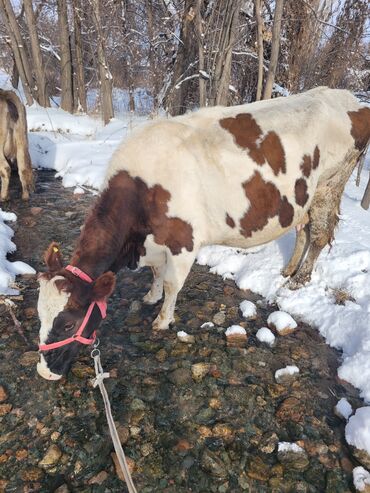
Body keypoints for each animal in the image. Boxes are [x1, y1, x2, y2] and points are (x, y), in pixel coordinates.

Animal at [36, 87, 370, 380]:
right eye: (40, 315)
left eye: (67, 325)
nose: (44, 372)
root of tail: (346, 97)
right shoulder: (154, 243)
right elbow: (156, 273)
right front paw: (150, 296)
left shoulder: (184, 241)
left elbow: (172, 283)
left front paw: (162, 320)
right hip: (303, 199)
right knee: (302, 229)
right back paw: (288, 269)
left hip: (330, 183)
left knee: (319, 234)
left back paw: (299, 279)